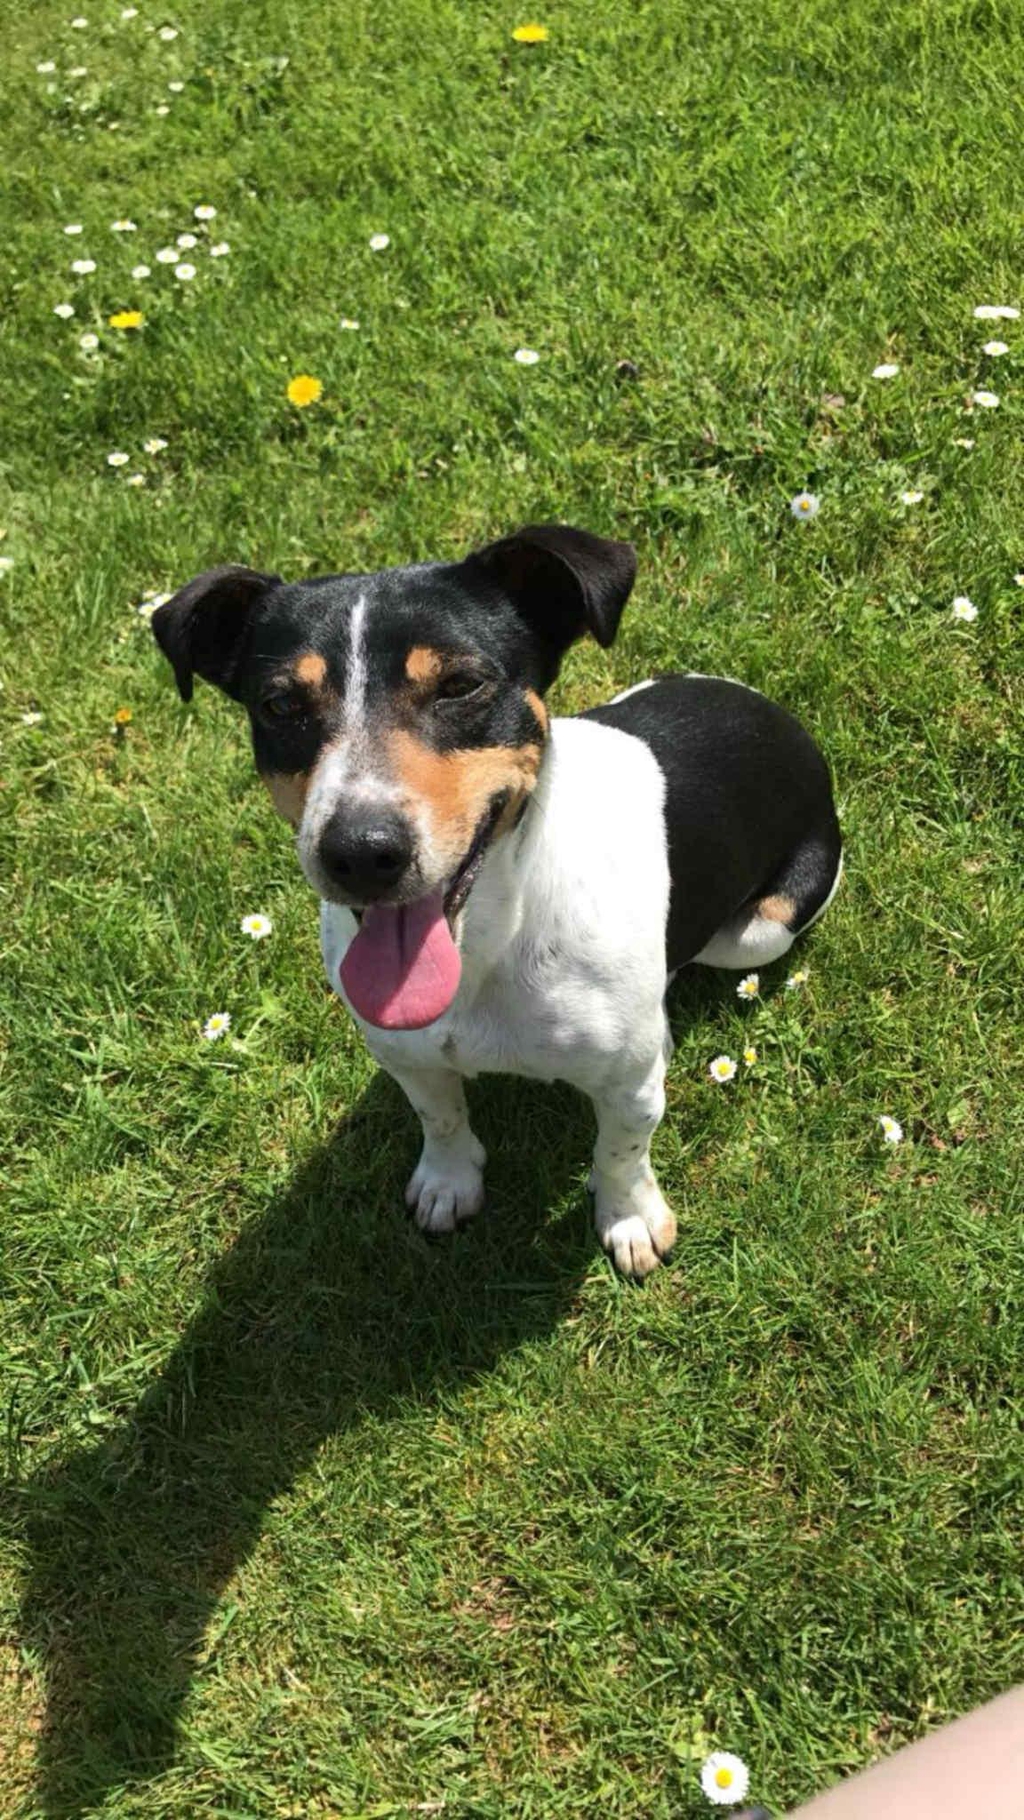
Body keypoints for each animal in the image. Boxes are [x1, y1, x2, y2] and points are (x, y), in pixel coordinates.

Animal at [153, 524, 841, 1278]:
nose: (360, 853)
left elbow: (621, 1150)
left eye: (461, 685)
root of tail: (779, 716)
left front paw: (628, 1216)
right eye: (279, 706)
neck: (487, 939)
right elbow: (440, 1117)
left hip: (759, 931)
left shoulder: (627, 1088)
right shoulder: (404, 1053)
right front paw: (449, 1180)